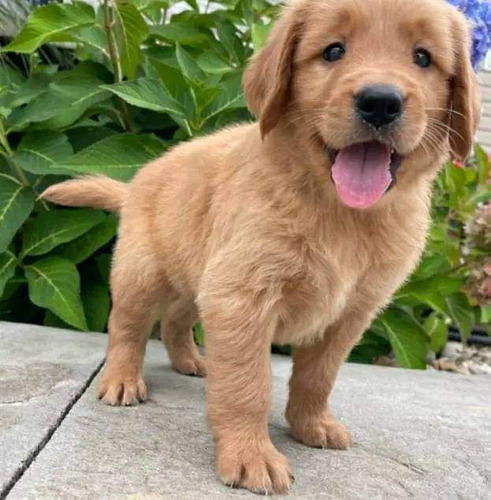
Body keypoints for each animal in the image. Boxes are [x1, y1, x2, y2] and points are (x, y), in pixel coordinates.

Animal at [42, 0, 480, 494]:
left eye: (423, 58)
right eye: (333, 50)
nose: (380, 102)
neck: (341, 213)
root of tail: (136, 181)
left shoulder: (350, 311)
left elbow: (319, 376)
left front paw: (312, 425)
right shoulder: (243, 296)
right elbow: (247, 383)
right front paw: (251, 454)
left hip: (197, 277)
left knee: (175, 321)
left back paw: (192, 361)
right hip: (142, 273)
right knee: (127, 327)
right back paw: (121, 379)